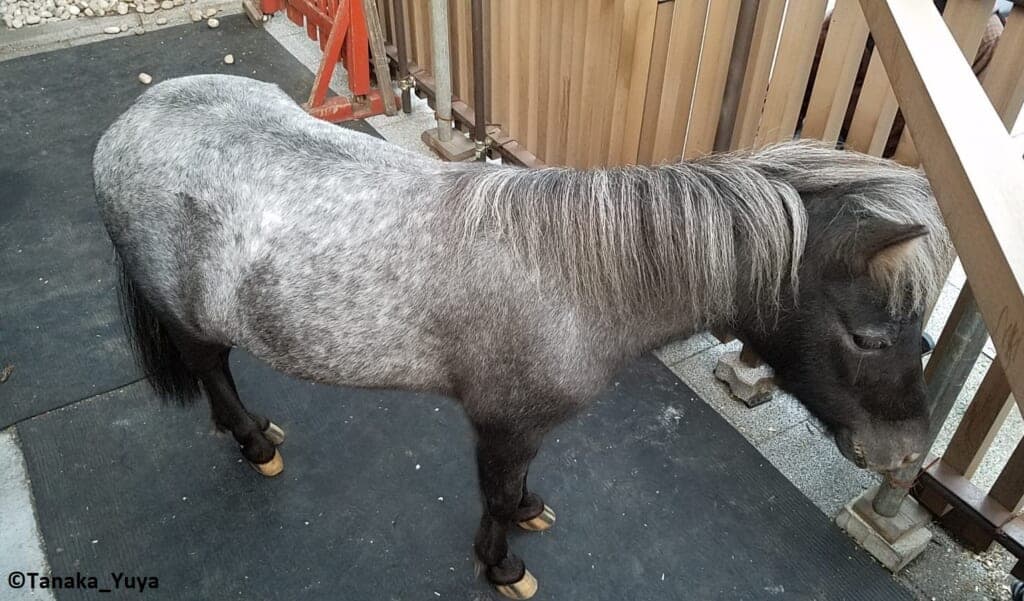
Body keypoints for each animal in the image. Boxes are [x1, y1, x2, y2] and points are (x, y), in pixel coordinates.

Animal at [93, 74, 952, 599]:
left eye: (923, 338)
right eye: (868, 336)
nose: (906, 453)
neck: (576, 274)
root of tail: (122, 132)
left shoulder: (523, 428)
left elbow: (518, 491)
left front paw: (531, 513)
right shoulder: (502, 423)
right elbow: (497, 498)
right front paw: (503, 565)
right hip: (190, 322)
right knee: (211, 368)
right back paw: (250, 439)